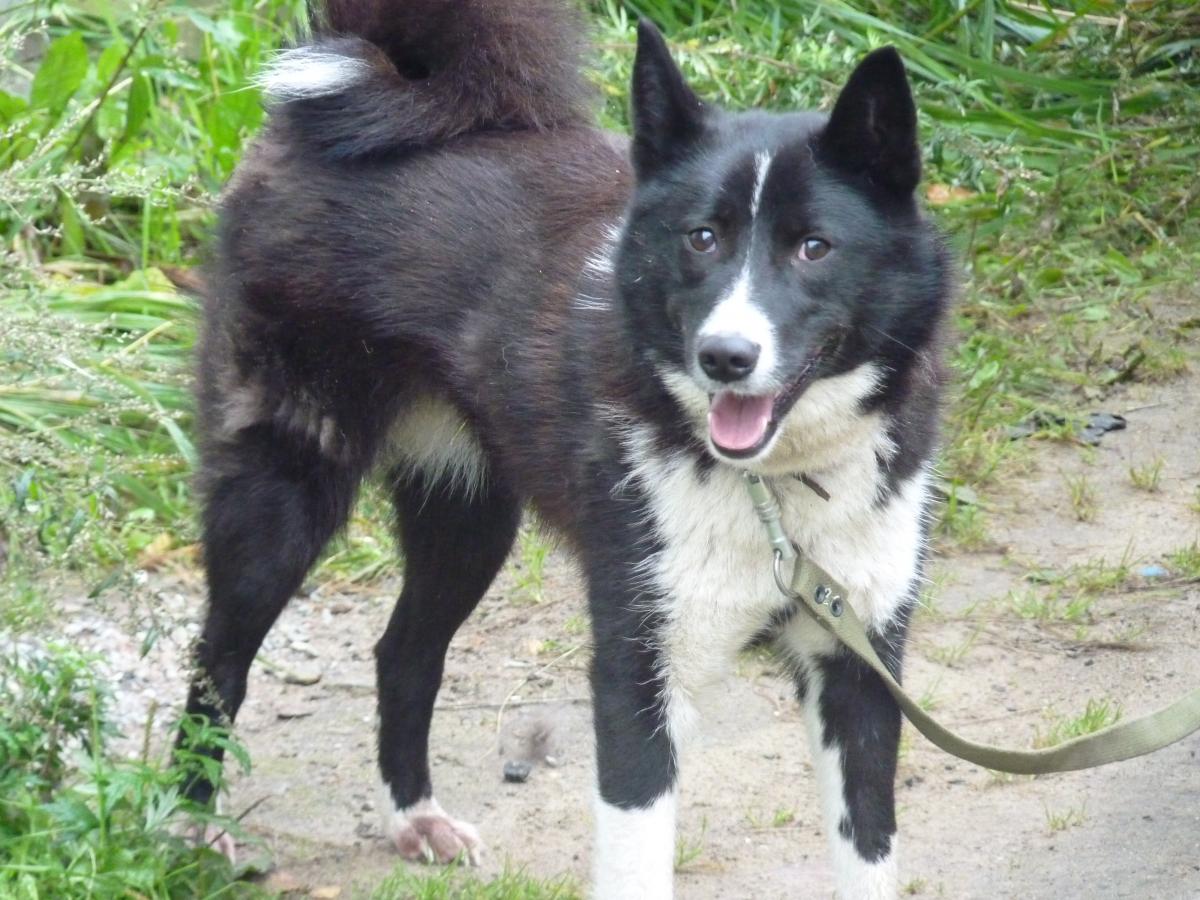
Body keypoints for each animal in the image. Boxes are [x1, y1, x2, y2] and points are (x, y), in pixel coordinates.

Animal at [177, 1, 952, 897]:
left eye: (814, 246)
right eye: (702, 237)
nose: (724, 357)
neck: (776, 492)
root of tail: (372, 87)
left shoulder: (861, 667)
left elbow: (869, 850)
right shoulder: (638, 668)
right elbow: (637, 852)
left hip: (466, 519)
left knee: (404, 654)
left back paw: (415, 818)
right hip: (280, 497)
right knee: (218, 661)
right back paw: (189, 829)